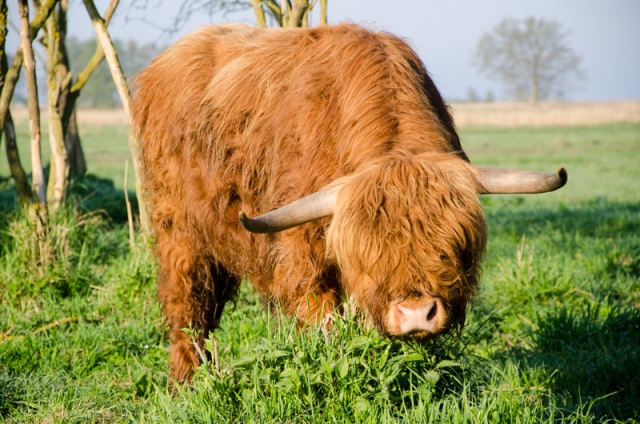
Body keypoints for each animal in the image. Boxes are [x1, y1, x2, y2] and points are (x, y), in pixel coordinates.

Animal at [130, 23, 564, 382]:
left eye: (452, 247)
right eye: (370, 256)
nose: (416, 315)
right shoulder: (303, 255)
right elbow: (322, 322)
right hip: (177, 228)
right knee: (187, 305)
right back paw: (186, 382)